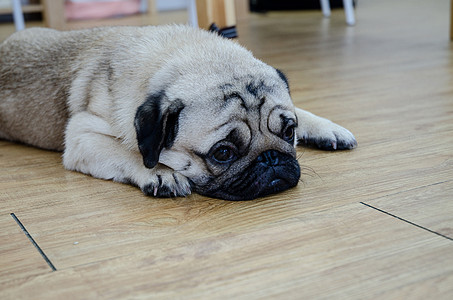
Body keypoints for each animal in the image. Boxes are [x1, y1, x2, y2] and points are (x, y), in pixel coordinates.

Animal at [0, 24, 354, 200]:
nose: (271, 159)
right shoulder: (81, 137)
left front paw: (325, 127)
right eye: (223, 152)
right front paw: (160, 172)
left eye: (288, 132)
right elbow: (128, 152)